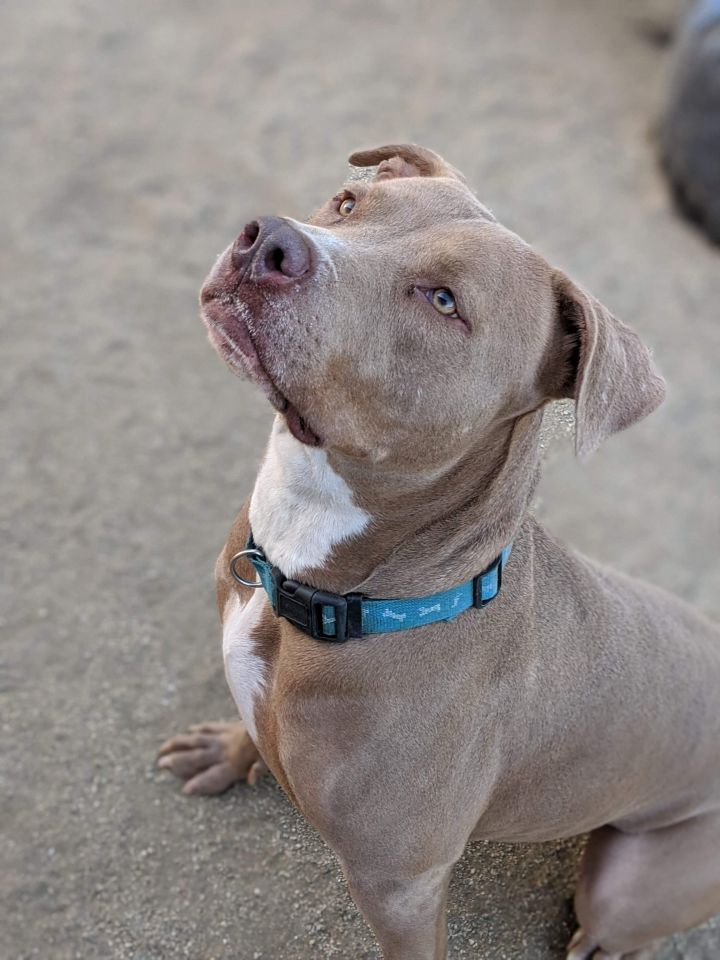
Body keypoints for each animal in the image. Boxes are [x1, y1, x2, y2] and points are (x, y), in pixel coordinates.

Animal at [159, 144, 720, 960]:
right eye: (348, 203)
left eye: (444, 301)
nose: (268, 243)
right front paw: (230, 751)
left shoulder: (401, 888)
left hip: (630, 885)